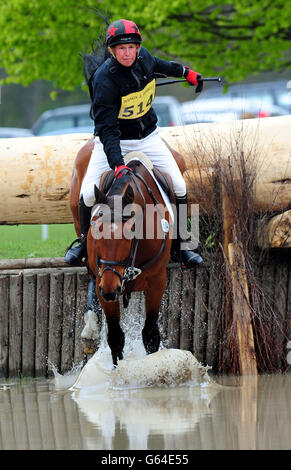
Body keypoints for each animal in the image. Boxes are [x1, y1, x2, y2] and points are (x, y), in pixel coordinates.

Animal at [69, 138, 186, 366]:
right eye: (95, 232)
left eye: (131, 232)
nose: (110, 289)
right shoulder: (103, 281)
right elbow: (115, 337)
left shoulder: (157, 282)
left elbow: (150, 335)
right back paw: (91, 328)